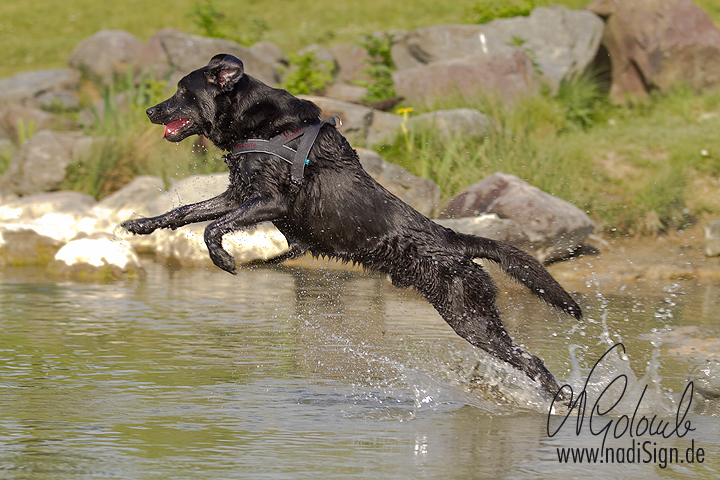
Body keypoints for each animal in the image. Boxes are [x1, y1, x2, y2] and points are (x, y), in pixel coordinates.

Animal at [122, 52, 580, 398]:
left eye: (183, 91)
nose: (148, 110)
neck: (262, 125)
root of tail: (456, 240)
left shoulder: (268, 200)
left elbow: (211, 228)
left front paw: (222, 258)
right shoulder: (239, 194)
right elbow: (186, 212)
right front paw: (143, 223)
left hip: (468, 314)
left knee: (531, 359)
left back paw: (557, 398)